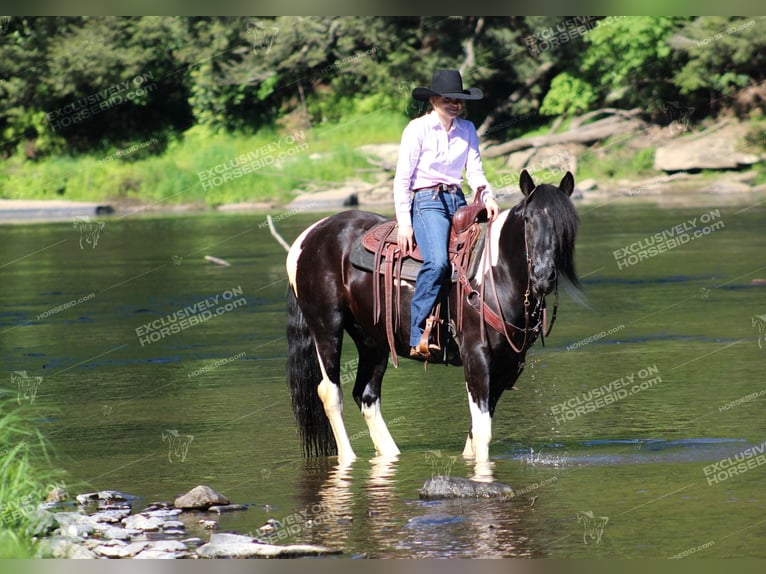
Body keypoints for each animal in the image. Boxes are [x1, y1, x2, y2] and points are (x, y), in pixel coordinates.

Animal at [284, 169, 580, 466]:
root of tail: (307, 237)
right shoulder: (476, 355)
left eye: (565, 223)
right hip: (326, 327)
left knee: (367, 396)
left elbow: (474, 435)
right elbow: (482, 433)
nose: (543, 276)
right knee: (331, 393)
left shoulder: (504, 366)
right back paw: (349, 457)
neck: (496, 274)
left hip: (372, 339)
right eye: (528, 220)